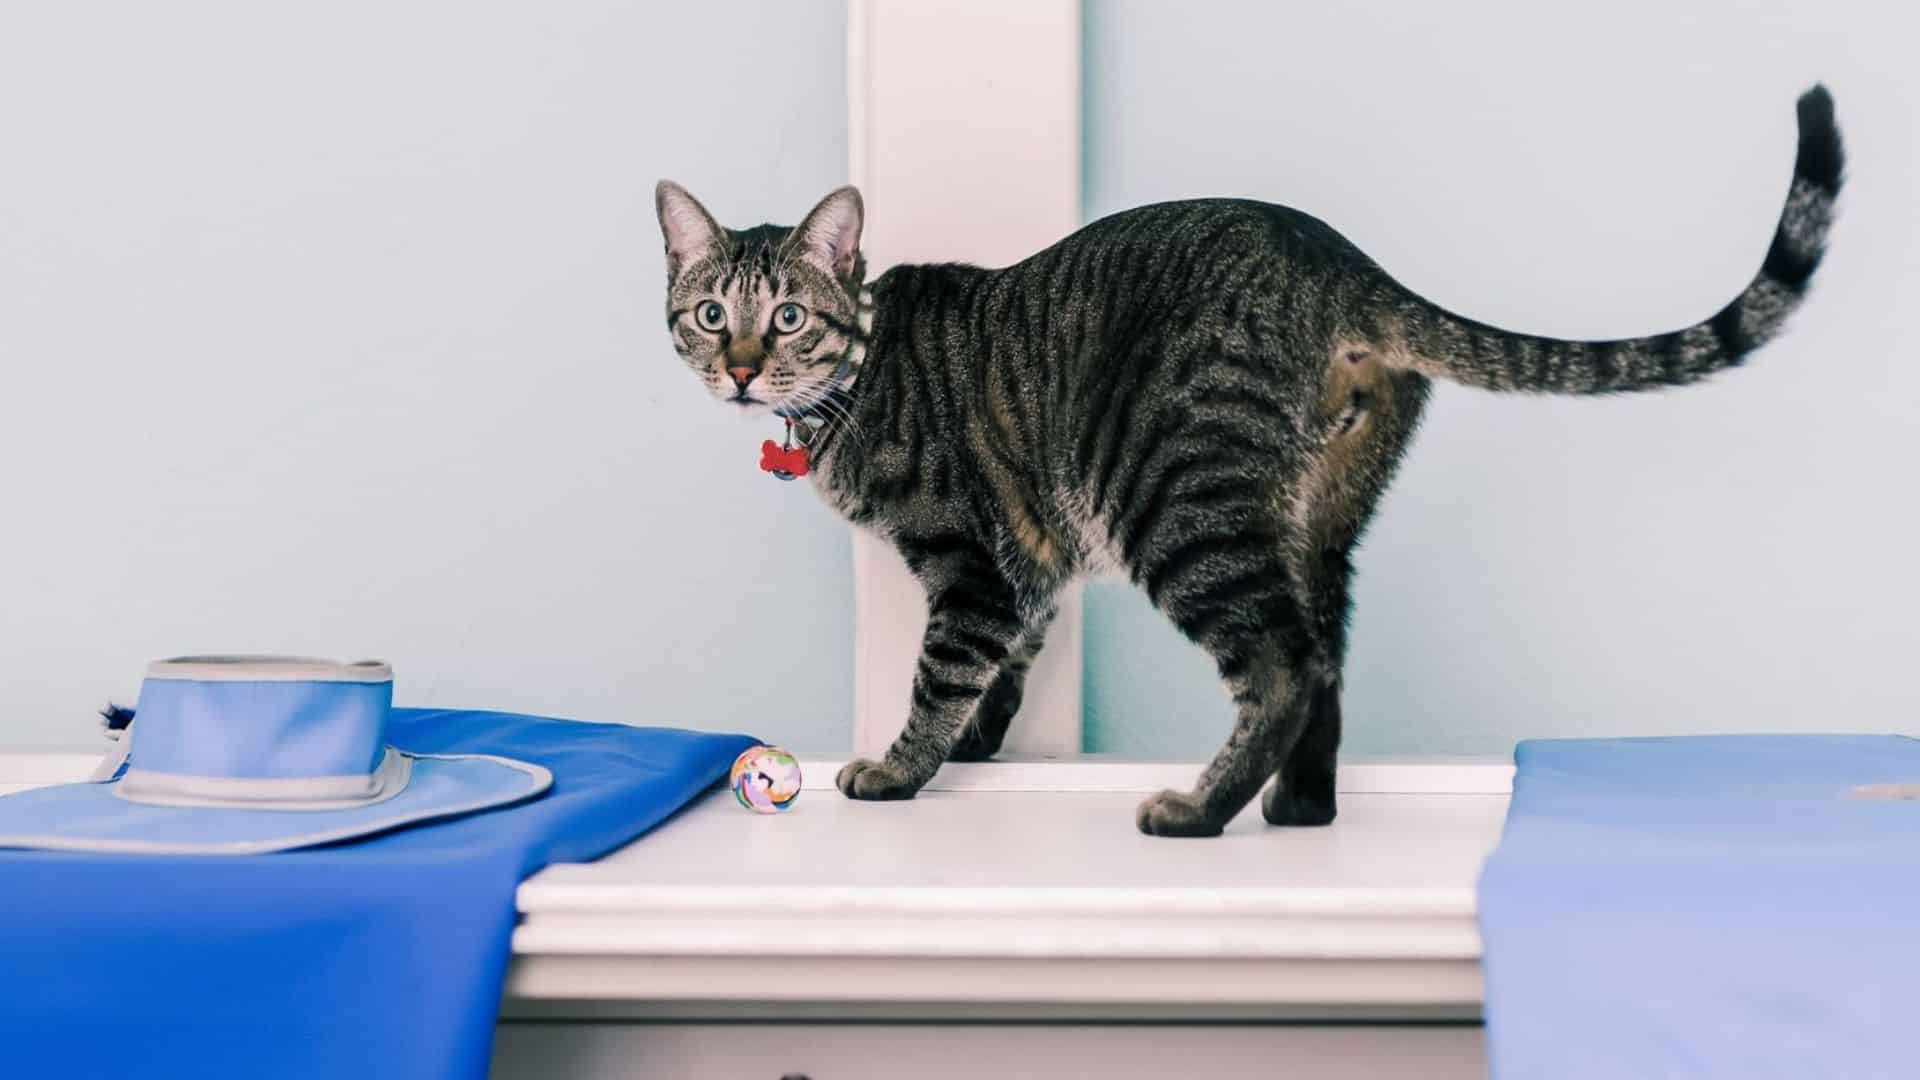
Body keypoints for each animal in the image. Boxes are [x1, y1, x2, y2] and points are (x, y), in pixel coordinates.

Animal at [653, 87, 1843, 837]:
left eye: (788, 317)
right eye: (711, 315)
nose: (743, 370)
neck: (856, 374)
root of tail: (1346, 263)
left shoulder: (971, 558)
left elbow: (947, 669)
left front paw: (902, 769)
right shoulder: (1030, 559)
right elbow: (1012, 661)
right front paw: (983, 745)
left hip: (1177, 504)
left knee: (1281, 667)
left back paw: (1197, 813)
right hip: (1313, 522)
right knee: (1325, 663)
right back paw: (1299, 806)